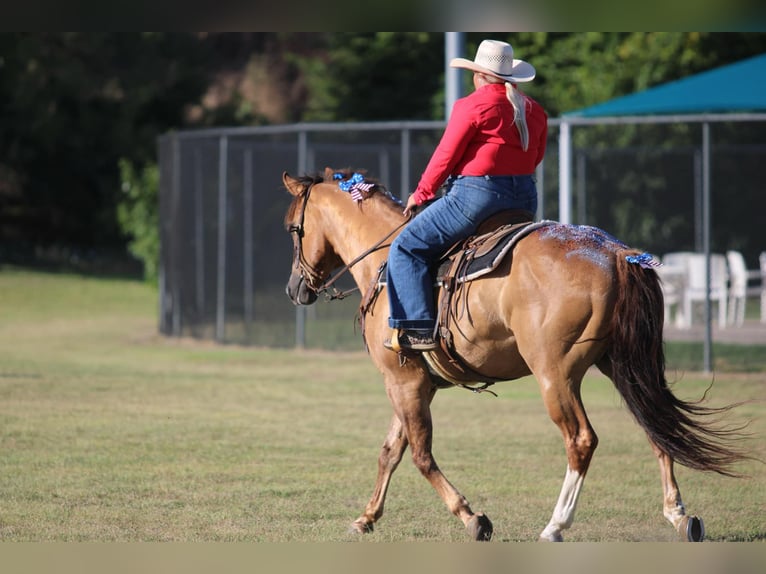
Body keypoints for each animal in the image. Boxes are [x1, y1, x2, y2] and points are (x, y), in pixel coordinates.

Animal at [281, 167, 747, 542]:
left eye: (292, 228)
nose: (294, 288)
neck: (385, 259)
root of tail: (618, 254)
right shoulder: (417, 383)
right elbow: (390, 451)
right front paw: (366, 518)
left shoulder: (403, 380)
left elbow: (420, 456)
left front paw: (472, 518)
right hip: (625, 366)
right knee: (656, 430)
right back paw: (679, 517)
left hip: (555, 375)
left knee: (581, 440)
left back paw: (555, 525)